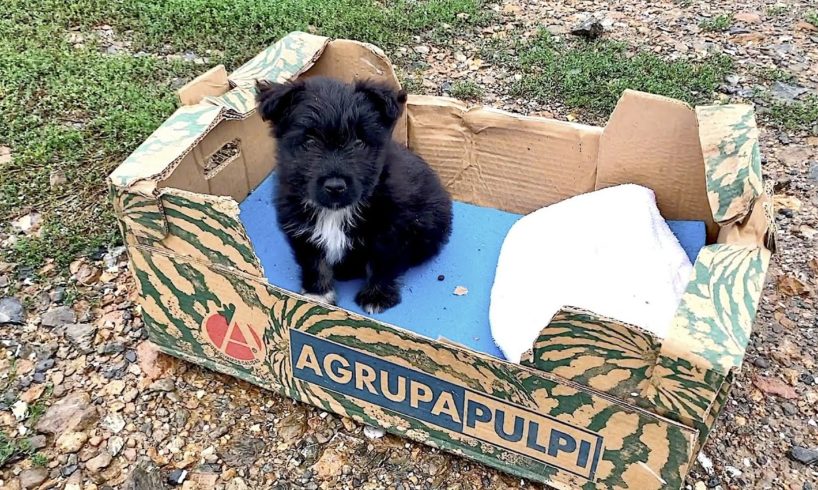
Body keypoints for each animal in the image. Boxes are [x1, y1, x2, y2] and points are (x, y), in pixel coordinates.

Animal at [256, 76, 452, 314]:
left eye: (359, 142)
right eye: (309, 142)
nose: (335, 186)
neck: (336, 212)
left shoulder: (390, 232)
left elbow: (382, 265)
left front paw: (376, 296)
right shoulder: (301, 231)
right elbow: (314, 262)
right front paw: (317, 294)